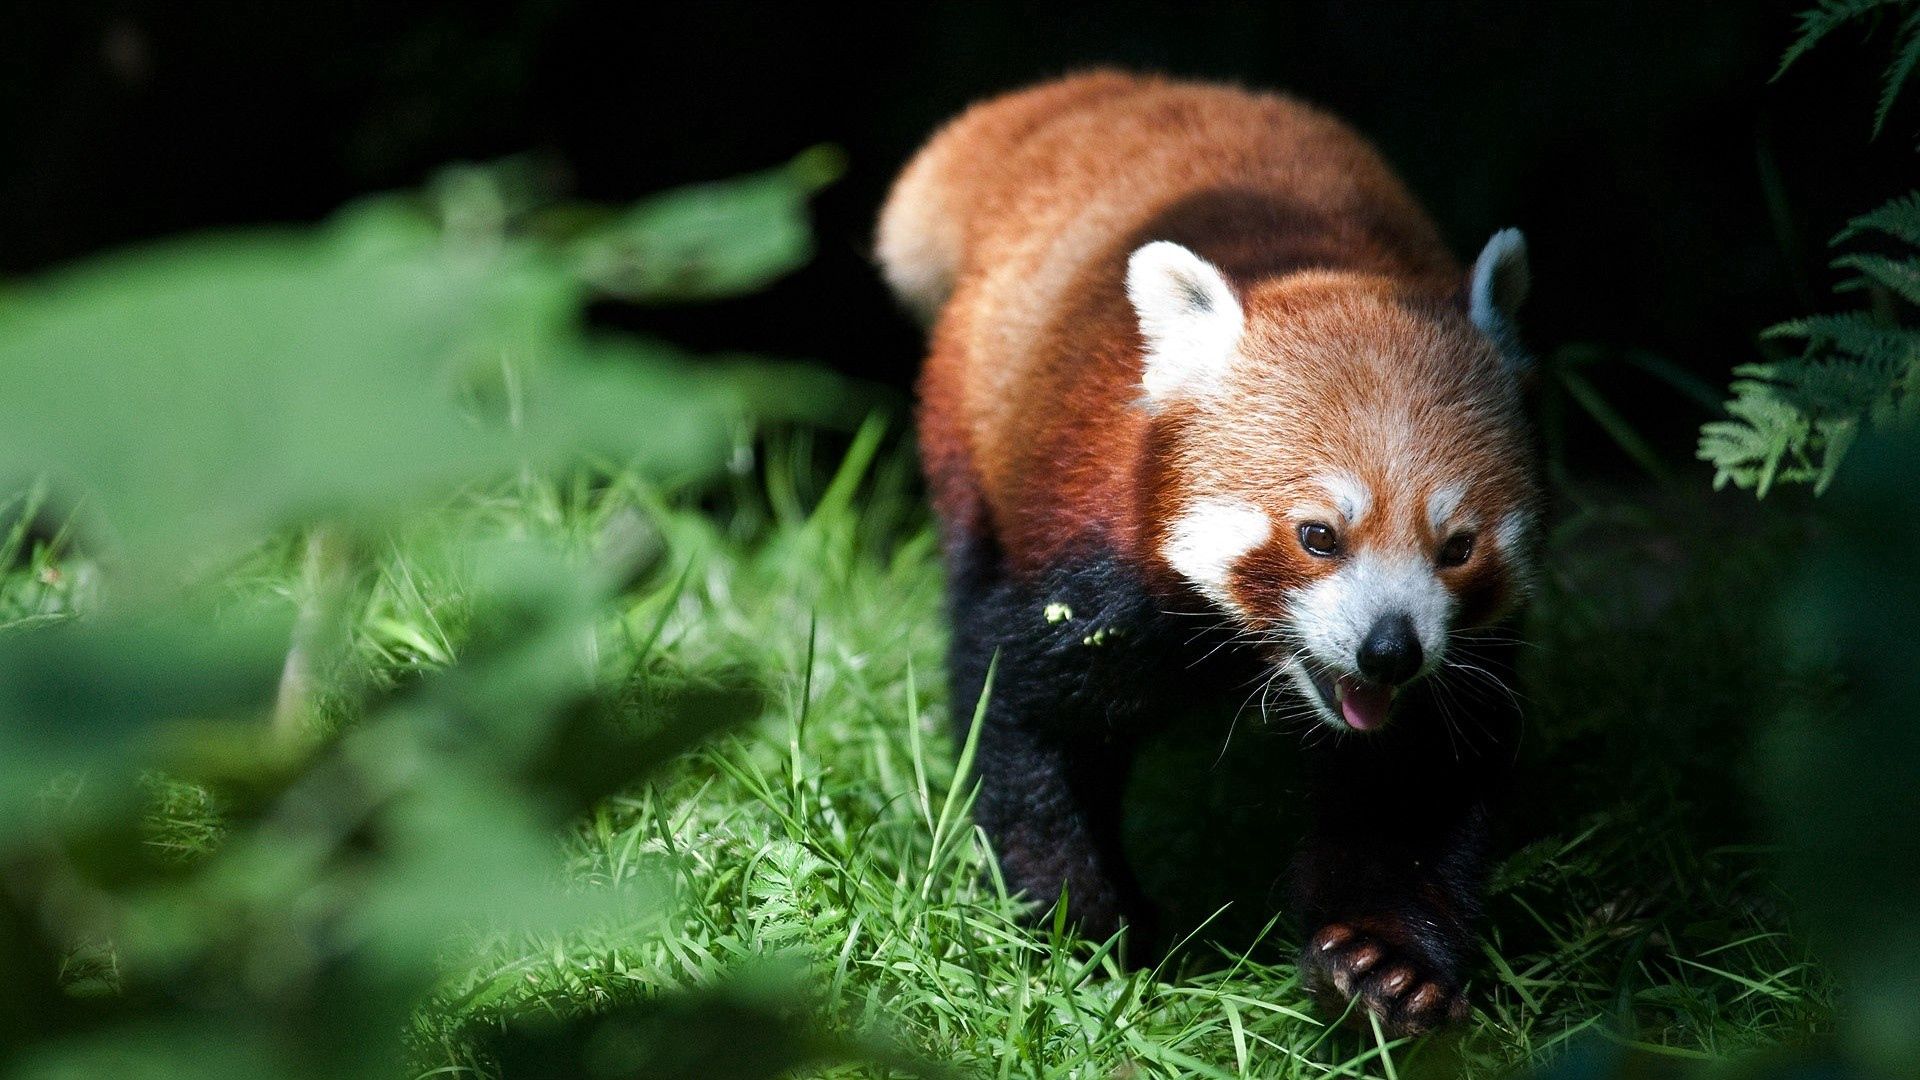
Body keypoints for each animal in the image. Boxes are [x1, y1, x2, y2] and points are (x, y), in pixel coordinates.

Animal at [883, 69, 1543, 1037]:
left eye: (1456, 547)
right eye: (1318, 535)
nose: (1390, 649)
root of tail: (1089, 94)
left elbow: (1416, 784)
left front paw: (1384, 969)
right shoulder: (1094, 568)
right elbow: (1023, 720)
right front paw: (1080, 930)